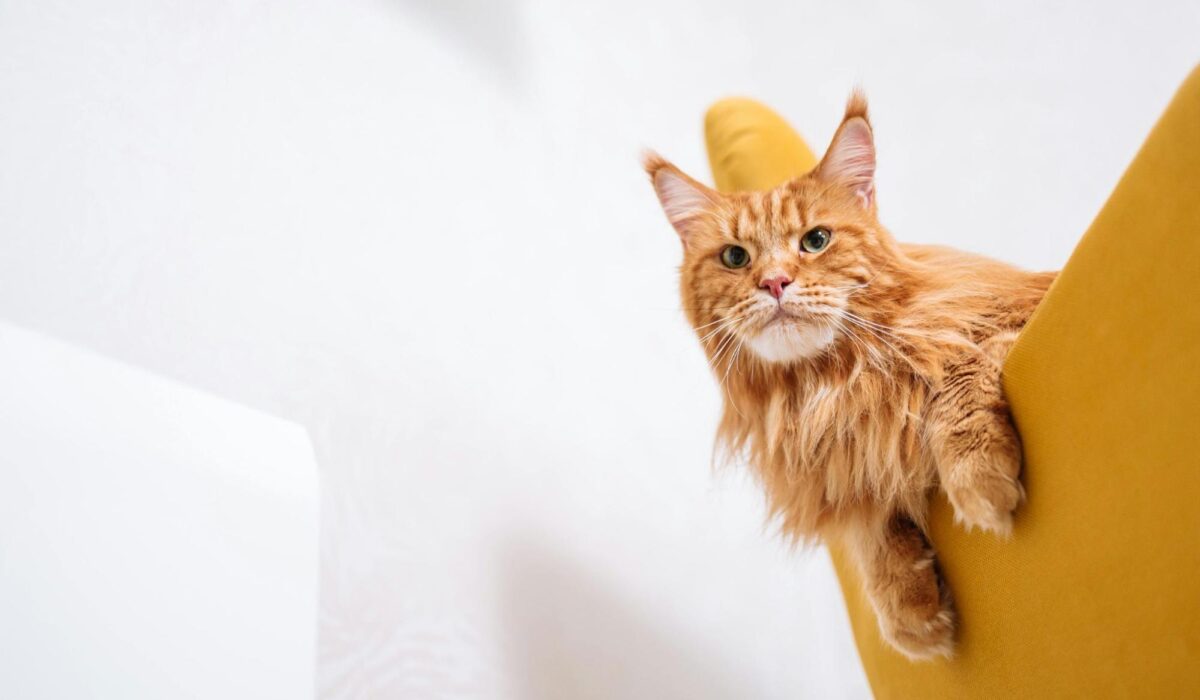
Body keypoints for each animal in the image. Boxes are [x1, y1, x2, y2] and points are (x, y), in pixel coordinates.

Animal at [648, 94, 1051, 662]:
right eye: (735, 257)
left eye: (816, 241)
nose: (775, 282)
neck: (833, 383)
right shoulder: (836, 463)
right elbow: (864, 510)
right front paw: (910, 613)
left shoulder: (1012, 318)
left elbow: (959, 371)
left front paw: (978, 482)